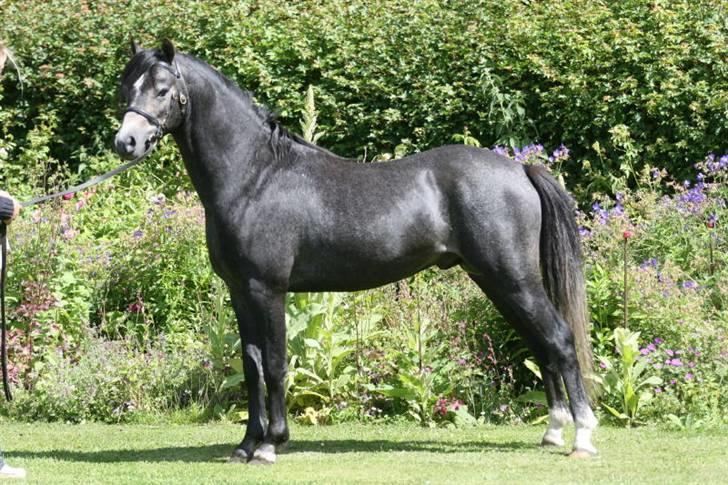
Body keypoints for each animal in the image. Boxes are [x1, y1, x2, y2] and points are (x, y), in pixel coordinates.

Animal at [114, 40, 598, 464]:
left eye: (162, 90)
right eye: (126, 88)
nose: (126, 143)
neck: (255, 177)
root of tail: (519, 169)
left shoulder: (267, 290)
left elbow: (275, 364)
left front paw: (271, 445)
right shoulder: (240, 291)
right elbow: (252, 367)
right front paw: (246, 446)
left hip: (513, 279)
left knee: (559, 340)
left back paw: (582, 438)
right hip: (498, 282)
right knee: (541, 344)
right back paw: (553, 431)